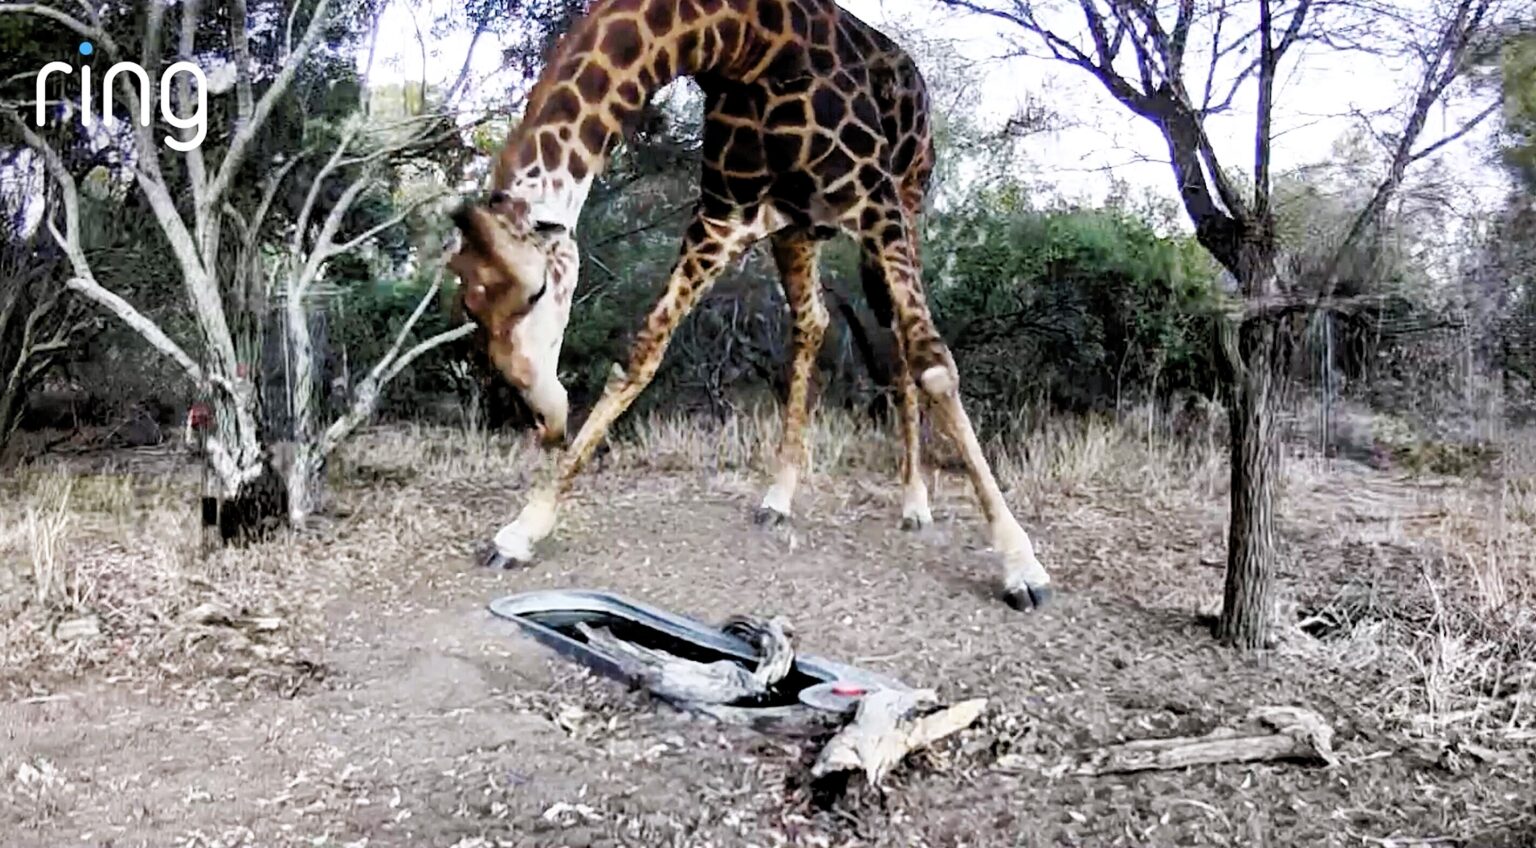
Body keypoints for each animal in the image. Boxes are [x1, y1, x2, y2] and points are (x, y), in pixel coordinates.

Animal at [446, 0, 1054, 610]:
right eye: (474, 312)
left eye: (536, 292)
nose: (545, 420)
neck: (739, 44)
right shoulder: (722, 219)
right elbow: (641, 356)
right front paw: (521, 530)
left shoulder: (872, 198)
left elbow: (935, 364)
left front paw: (1021, 565)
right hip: (798, 228)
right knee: (813, 321)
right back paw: (779, 496)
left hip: (908, 197)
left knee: (901, 341)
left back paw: (915, 503)